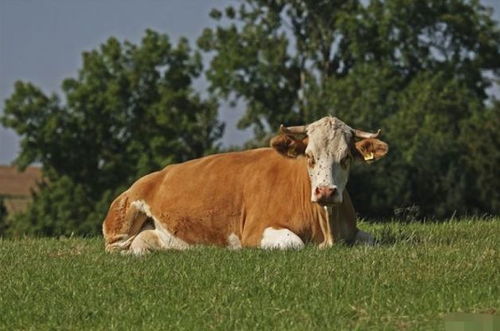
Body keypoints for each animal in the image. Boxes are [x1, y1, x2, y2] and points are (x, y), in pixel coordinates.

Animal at [103, 115, 388, 255]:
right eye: (309, 156)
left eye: (346, 157)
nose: (326, 191)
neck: (327, 230)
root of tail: (155, 175)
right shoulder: (256, 231)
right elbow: (294, 243)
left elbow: (370, 240)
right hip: (125, 215)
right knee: (117, 248)